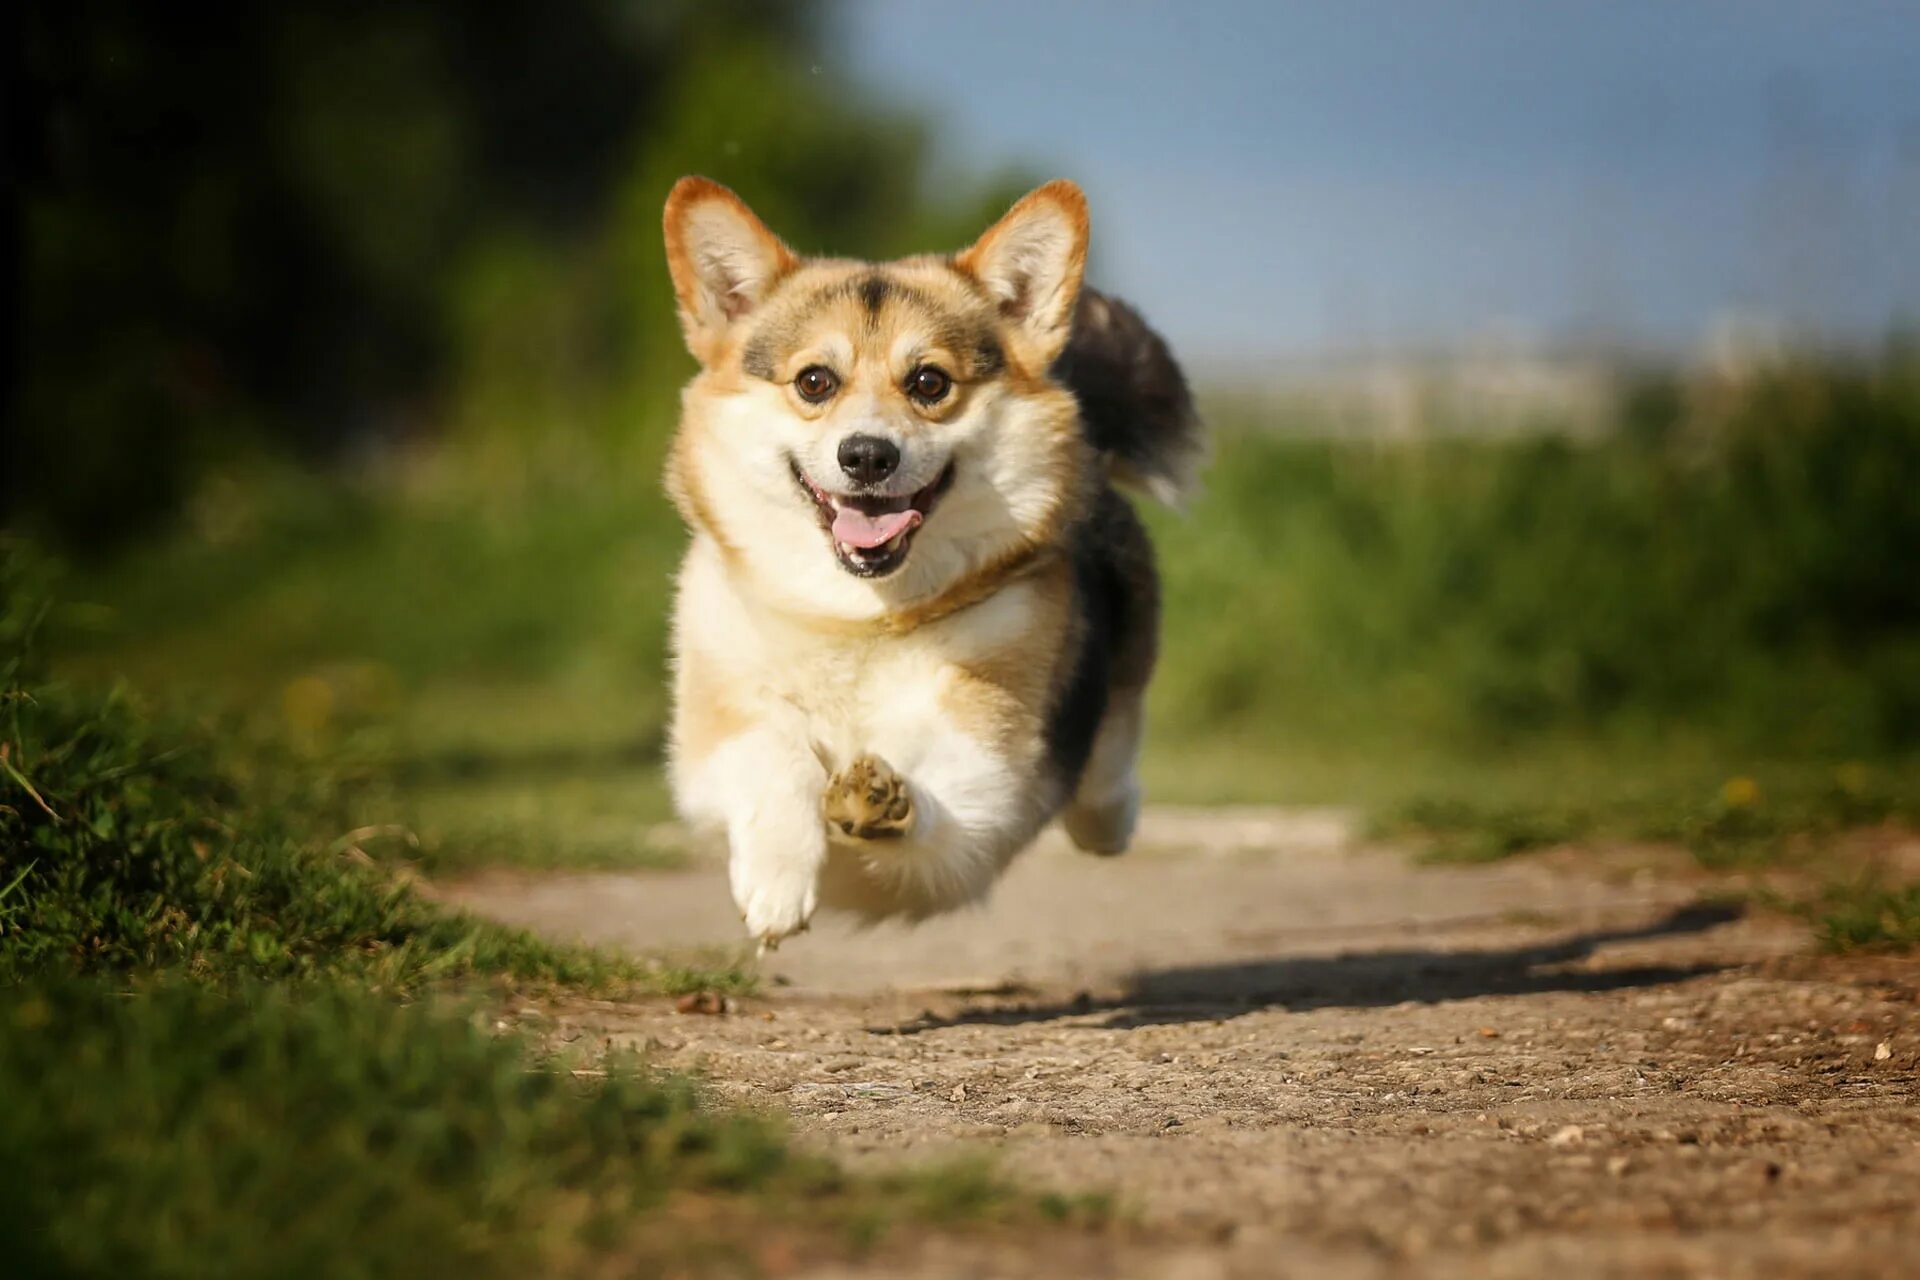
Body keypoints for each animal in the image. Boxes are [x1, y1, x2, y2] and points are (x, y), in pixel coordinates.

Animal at [660, 175, 1198, 948]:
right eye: (815, 381)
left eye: (929, 383)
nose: (867, 456)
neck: (857, 618)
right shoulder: (718, 723)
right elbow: (775, 751)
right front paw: (777, 881)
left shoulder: (987, 763)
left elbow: (942, 778)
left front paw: (883, 800)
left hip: (1118, 675)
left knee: (1106, 771)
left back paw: (1110, 812)